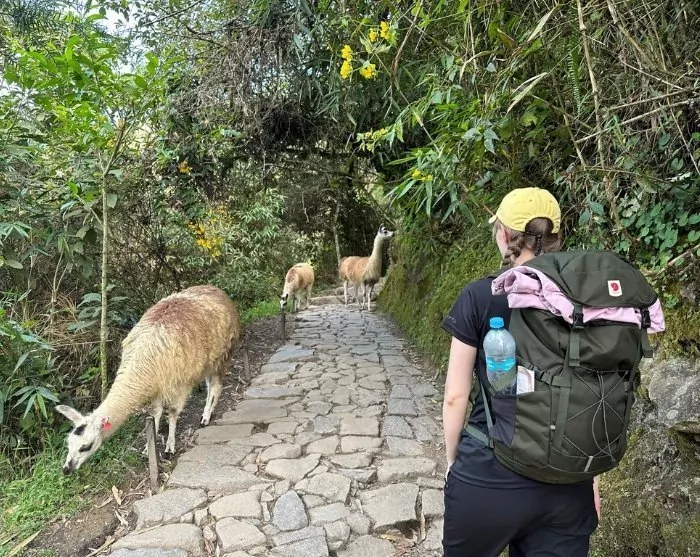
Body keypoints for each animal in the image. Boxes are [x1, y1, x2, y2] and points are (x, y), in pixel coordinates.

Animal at [55, 284, 240, 474]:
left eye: (85, 446)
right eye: (68, 444)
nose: (66, 469)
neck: (144, 363)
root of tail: (217, 291)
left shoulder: (178, 383)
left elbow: (172, 412)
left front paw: (169, 447)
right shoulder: (156, 385)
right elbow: (155, 413)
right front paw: (148, 448)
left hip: (223, 354)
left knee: (215, 386)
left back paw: (206, 417)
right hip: (208, 362)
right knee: (210, 385)